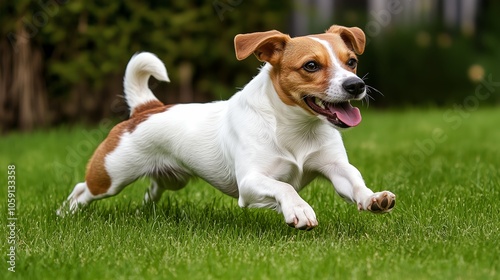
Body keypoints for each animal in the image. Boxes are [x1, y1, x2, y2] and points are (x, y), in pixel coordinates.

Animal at [57, 24, 394, 230]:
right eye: (311, 66)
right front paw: (298, 209)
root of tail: (147, 107)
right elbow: (284, 187)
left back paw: (145, 208)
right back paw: (65, 214)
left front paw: (372, 198)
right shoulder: (251, 182)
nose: (356, 85)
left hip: (172, 179)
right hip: (111, 176)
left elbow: (355, 182)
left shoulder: (336, 168)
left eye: (351, 62)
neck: (295, 129)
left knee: (154, 186)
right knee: (82, 189)